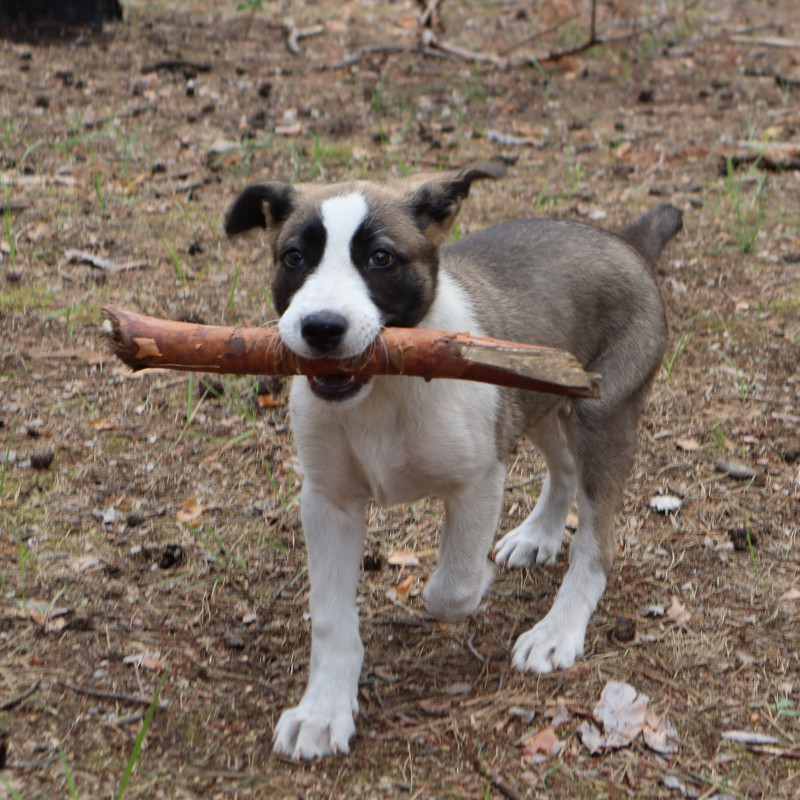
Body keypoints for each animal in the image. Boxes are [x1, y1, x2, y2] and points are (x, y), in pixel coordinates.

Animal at [225, 162, 680, 756]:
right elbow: (330, 619)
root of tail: (622, 241)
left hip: (603, 415)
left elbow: (452, 588)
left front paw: (472, 585)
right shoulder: (328, 502)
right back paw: (538, 535)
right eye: (294, 257)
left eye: (381, 258)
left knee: (596, 540)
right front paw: (323, 711)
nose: (321, 328)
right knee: (564, 467)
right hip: (536, 394)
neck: (382, 389)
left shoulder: (477, 480)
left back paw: (557, 630)